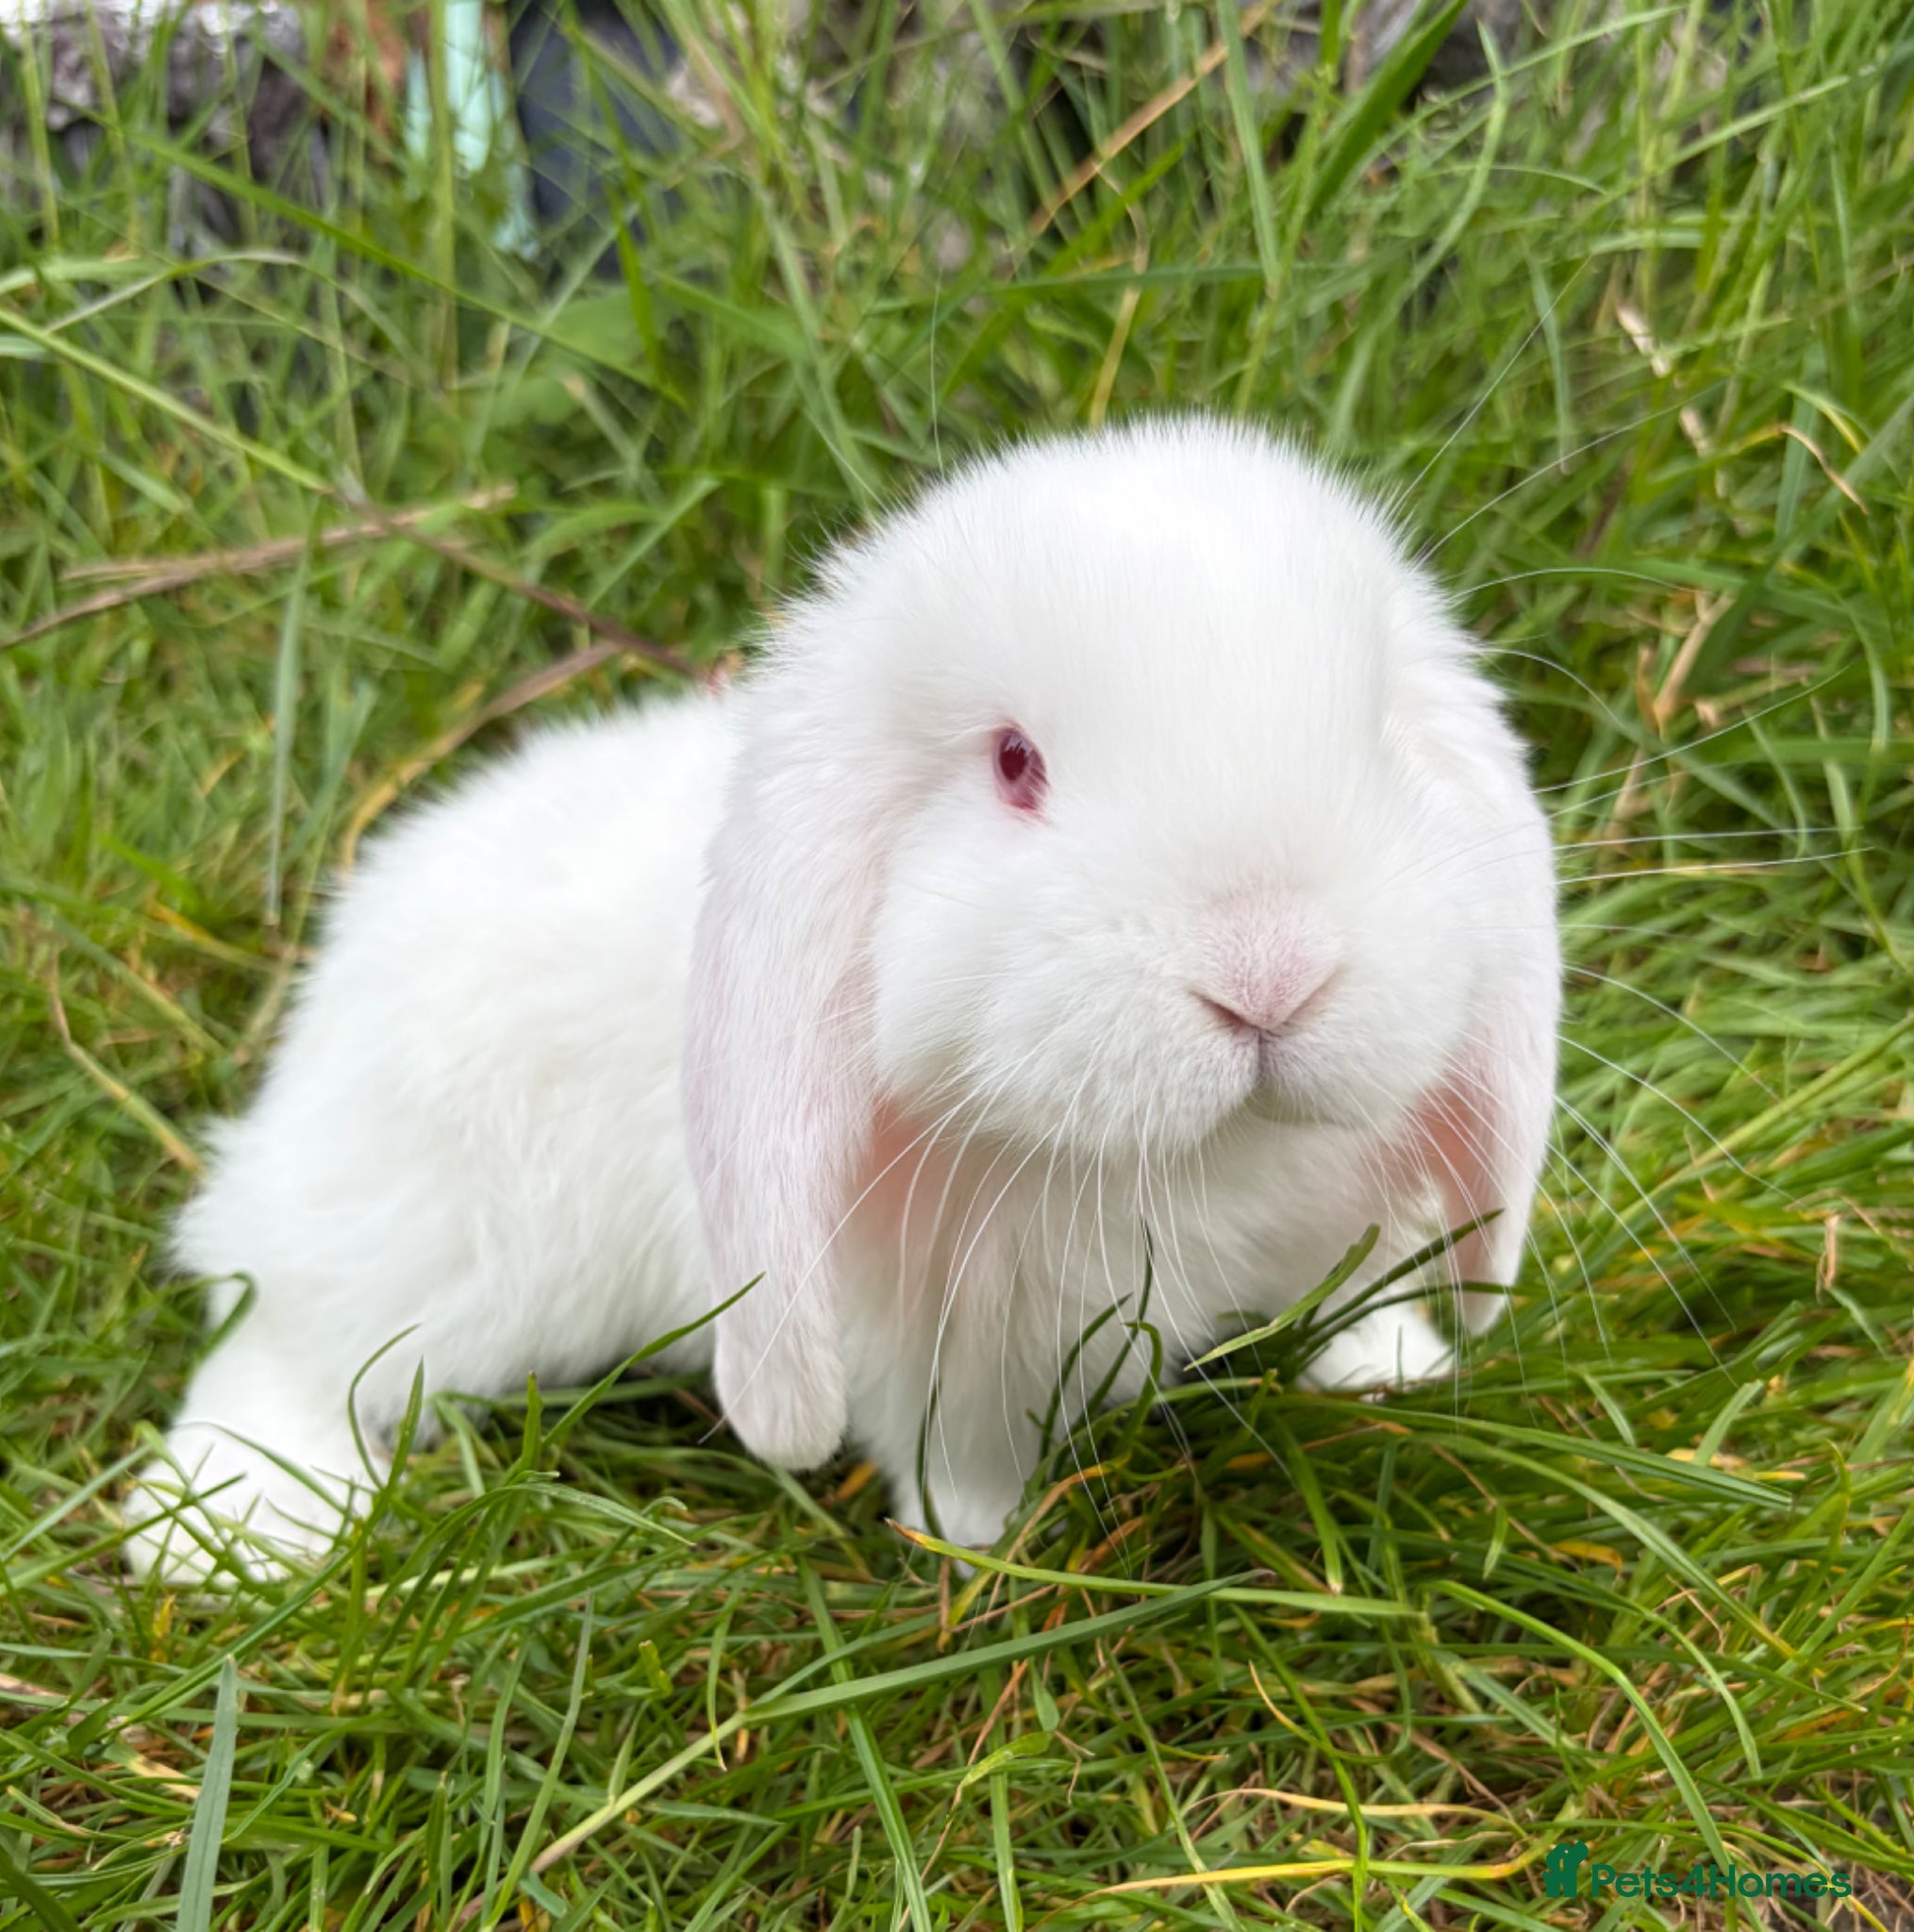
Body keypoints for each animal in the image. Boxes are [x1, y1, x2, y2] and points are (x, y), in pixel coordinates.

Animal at [124, 416, 1559, 1584]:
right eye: (1015, 763)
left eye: (1377, 739)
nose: (1269, 970)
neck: (1200, 1162)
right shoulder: (928, 1350)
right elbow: (950, 1452)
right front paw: (989, 1552)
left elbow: (1360, 1297)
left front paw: (1398, 1370)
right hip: (431, 1247)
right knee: (284, 1329)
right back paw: (234, 1528)